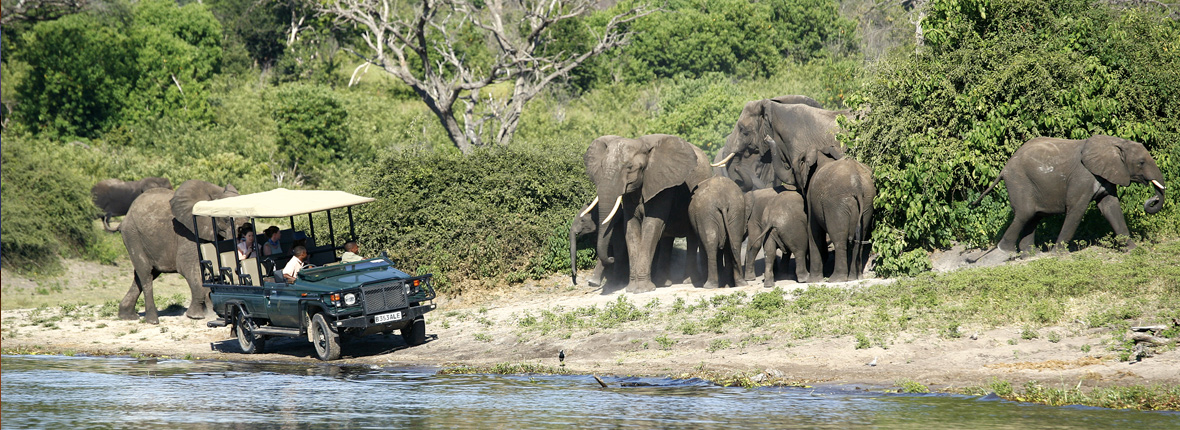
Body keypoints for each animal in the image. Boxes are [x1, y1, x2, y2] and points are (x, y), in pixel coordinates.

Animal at [117, 180, 240, 324]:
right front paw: (196, 316)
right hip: (132, 235)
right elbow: (188, 267)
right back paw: (152, 320)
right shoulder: (187, 232)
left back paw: (127, 316)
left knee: (145, 274)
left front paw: (211, 311)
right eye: (225, 219)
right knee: (145, 273)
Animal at [584, 134, 712, 293]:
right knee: (666, 238)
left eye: (630, 167)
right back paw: (663, 283)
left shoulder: (662, 186)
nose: (611, 258)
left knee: (691, 237)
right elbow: (631, 228)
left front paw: (642, 289)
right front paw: (632, 288)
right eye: (601, 167)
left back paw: (688, 281)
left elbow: (651, 225)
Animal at [972, 135, 1166, 254]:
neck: (1115, 143)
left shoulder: (1107, 175)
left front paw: (1133, 249)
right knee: (1025, 213)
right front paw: (1059, 254)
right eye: (1141, 162)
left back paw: (1030, 254)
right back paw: (1006, 251)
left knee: (1033, 216)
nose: (1153, 199)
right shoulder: (1083, 176)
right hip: (1019, 180)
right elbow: (1077, 209)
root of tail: (1004, 168)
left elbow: (1111, 207)